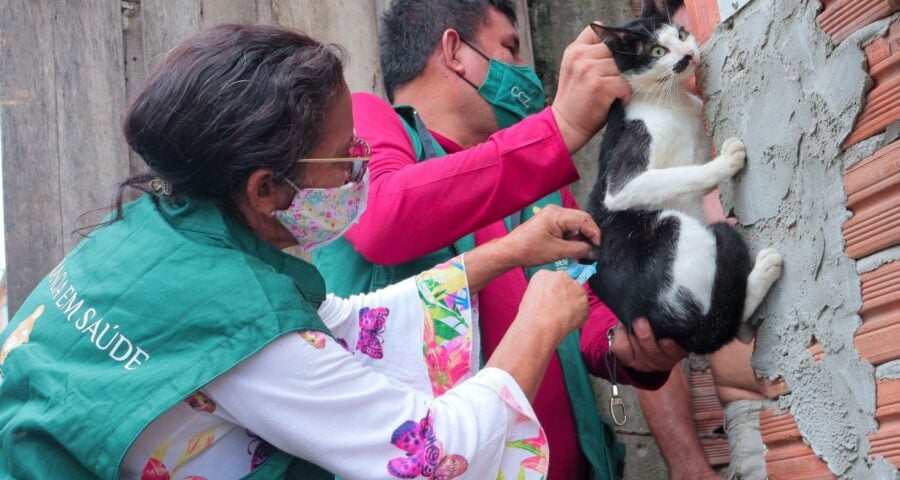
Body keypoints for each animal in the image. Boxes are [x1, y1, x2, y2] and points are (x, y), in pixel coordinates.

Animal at [588, 0, 784, 352]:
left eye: (680, 34)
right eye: (657, 50)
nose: (689, 54)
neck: (670, 101)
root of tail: (675, 331)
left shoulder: (699, 139)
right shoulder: (623, 180)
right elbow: (682, 175)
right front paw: (726, 161)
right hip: (671, 227)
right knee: (722, 320)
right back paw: (763, 270)